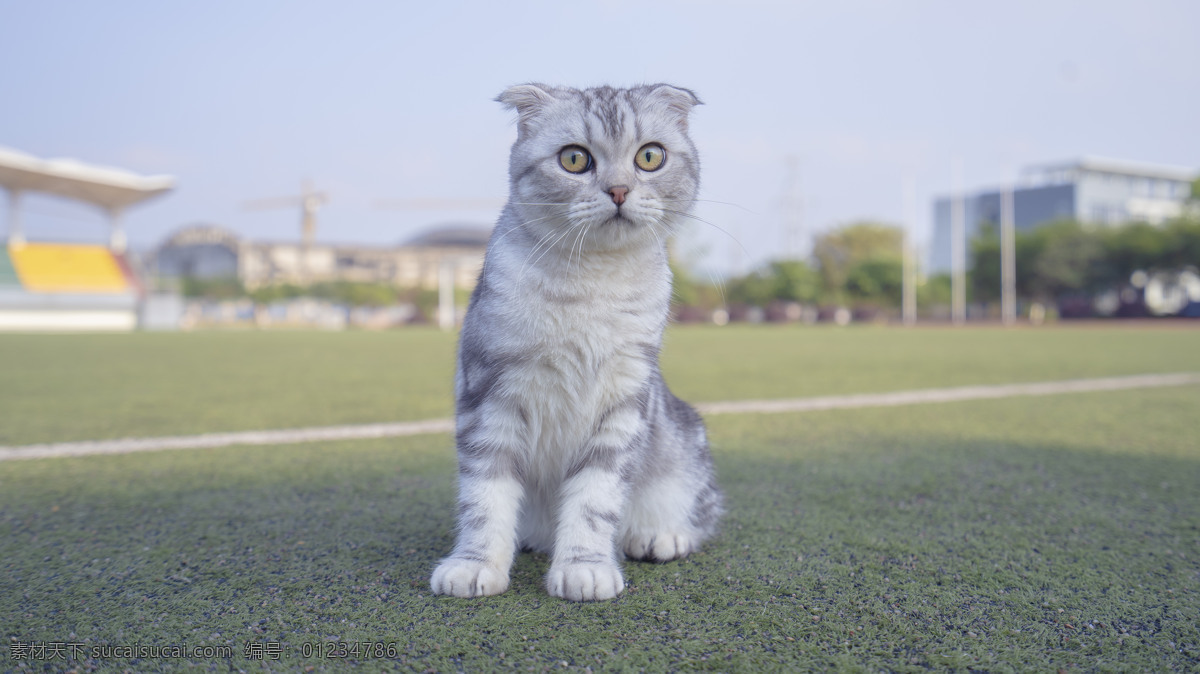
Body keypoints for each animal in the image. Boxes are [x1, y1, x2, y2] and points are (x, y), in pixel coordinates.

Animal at [432, 82, 720, 597]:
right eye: (574, 159)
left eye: (650, 156)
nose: (619, 190)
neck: (590, 284)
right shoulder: (488, 395)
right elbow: (484, 497)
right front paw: (474, 564)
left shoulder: (623, 399)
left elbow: (595, 498)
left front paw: (584, 566)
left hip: (685, 449)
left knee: (698, 514)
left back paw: (659, 536)